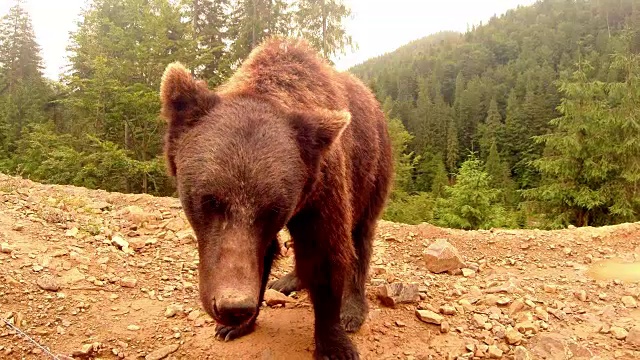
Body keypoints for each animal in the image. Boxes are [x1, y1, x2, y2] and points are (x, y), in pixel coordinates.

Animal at [159, 37, 390, 360]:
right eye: (210, 200)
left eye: (273, 209)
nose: (232, 307)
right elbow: (263, 252)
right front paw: (235, 326)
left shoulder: (323, 186)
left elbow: (327, 252)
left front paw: (335, 344)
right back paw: (289, 280)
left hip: (372, 167)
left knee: (361, 234)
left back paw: (352, 306)